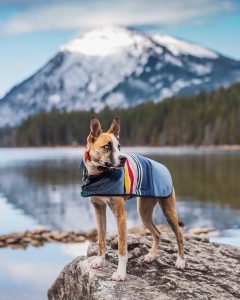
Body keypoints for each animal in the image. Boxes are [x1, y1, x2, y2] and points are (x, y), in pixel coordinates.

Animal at [81, 115, 185, 282]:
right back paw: (151, 255)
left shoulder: (121, 215)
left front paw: (120, 273)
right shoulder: (98, 209)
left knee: (180, 235)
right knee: (158, 233)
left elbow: (122, 249)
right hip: (144, 213)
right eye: (107, 146)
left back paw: (180, 261)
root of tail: (164, 168)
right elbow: (101, 239)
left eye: (119, 146)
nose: (123, 158)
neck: (99, 175)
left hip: (168, 210)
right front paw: (99, 260)